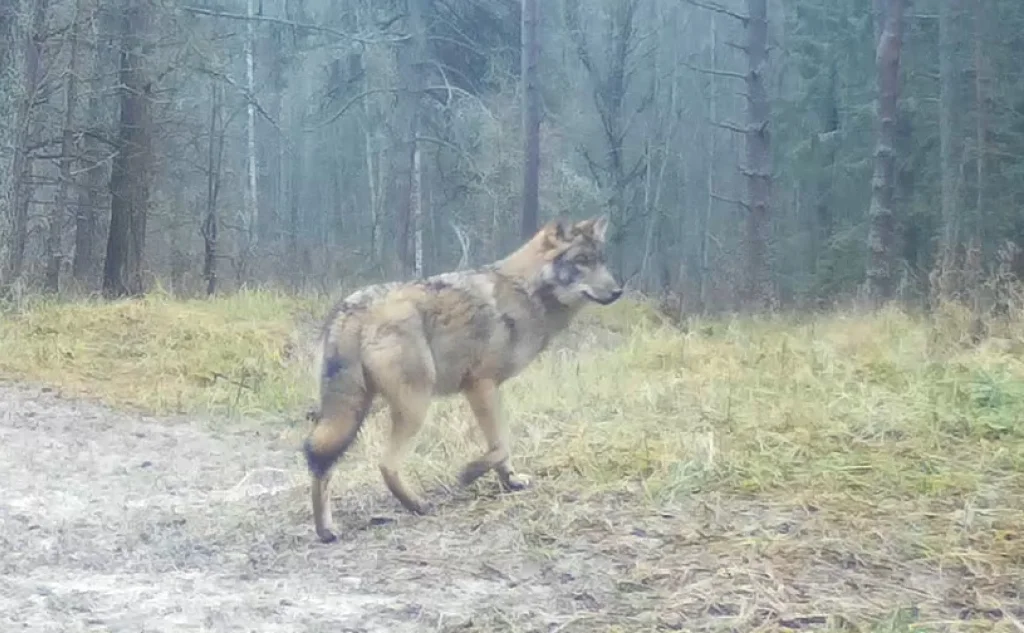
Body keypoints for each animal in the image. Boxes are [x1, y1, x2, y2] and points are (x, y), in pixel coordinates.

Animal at [303, 215, 623, 542]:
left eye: (601, 260)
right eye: (581, 261)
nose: (617, 292)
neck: (526, 293)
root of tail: (351, 309)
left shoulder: (489, 390)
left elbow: (502, 447)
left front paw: (511, 482)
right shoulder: (480, 385)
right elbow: (501, 445)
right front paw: (468, 473)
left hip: (352, 413)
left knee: (319, 459)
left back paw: (326, 530)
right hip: (413, 407)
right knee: (384, 463)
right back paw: (417, 504)